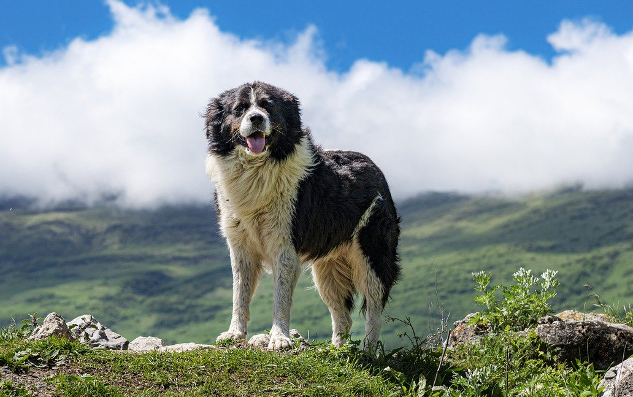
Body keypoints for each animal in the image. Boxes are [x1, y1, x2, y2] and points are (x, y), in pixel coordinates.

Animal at [204, 82, 400, 348]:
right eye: (239, 109)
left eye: (267, 106)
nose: (256, 118)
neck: (256, 170)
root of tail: (375, 167)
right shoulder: (240, 245)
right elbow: (239, 294)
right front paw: (234, 334)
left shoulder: (284, 244)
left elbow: (281, 298)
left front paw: (279, 339)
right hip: (328, 270)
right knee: (343, 317)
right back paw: (337, 351)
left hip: (371, 254)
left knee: (374, 311)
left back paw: (367, 352)